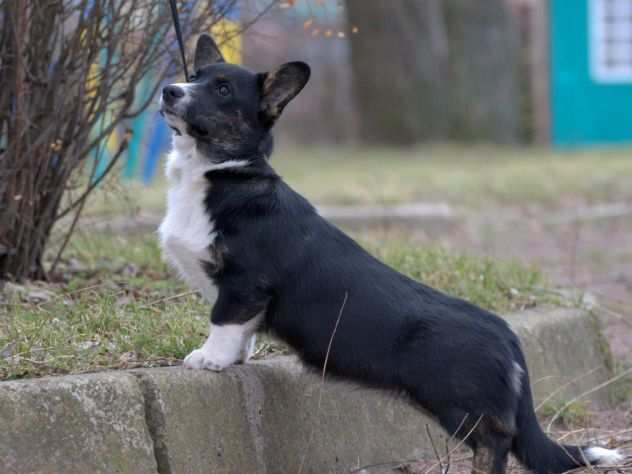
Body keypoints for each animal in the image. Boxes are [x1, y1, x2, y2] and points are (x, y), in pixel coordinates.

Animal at [159, 35, 624, 474]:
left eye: (222, 89)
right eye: (194, 75)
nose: (169, 90)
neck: (221, 172)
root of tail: (507, 335)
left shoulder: (244, 284)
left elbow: (223, 322)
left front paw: (208, 359)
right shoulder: (246, 297)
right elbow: (244, 332)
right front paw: (235, 358)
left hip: (455, 401)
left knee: (497, 438)